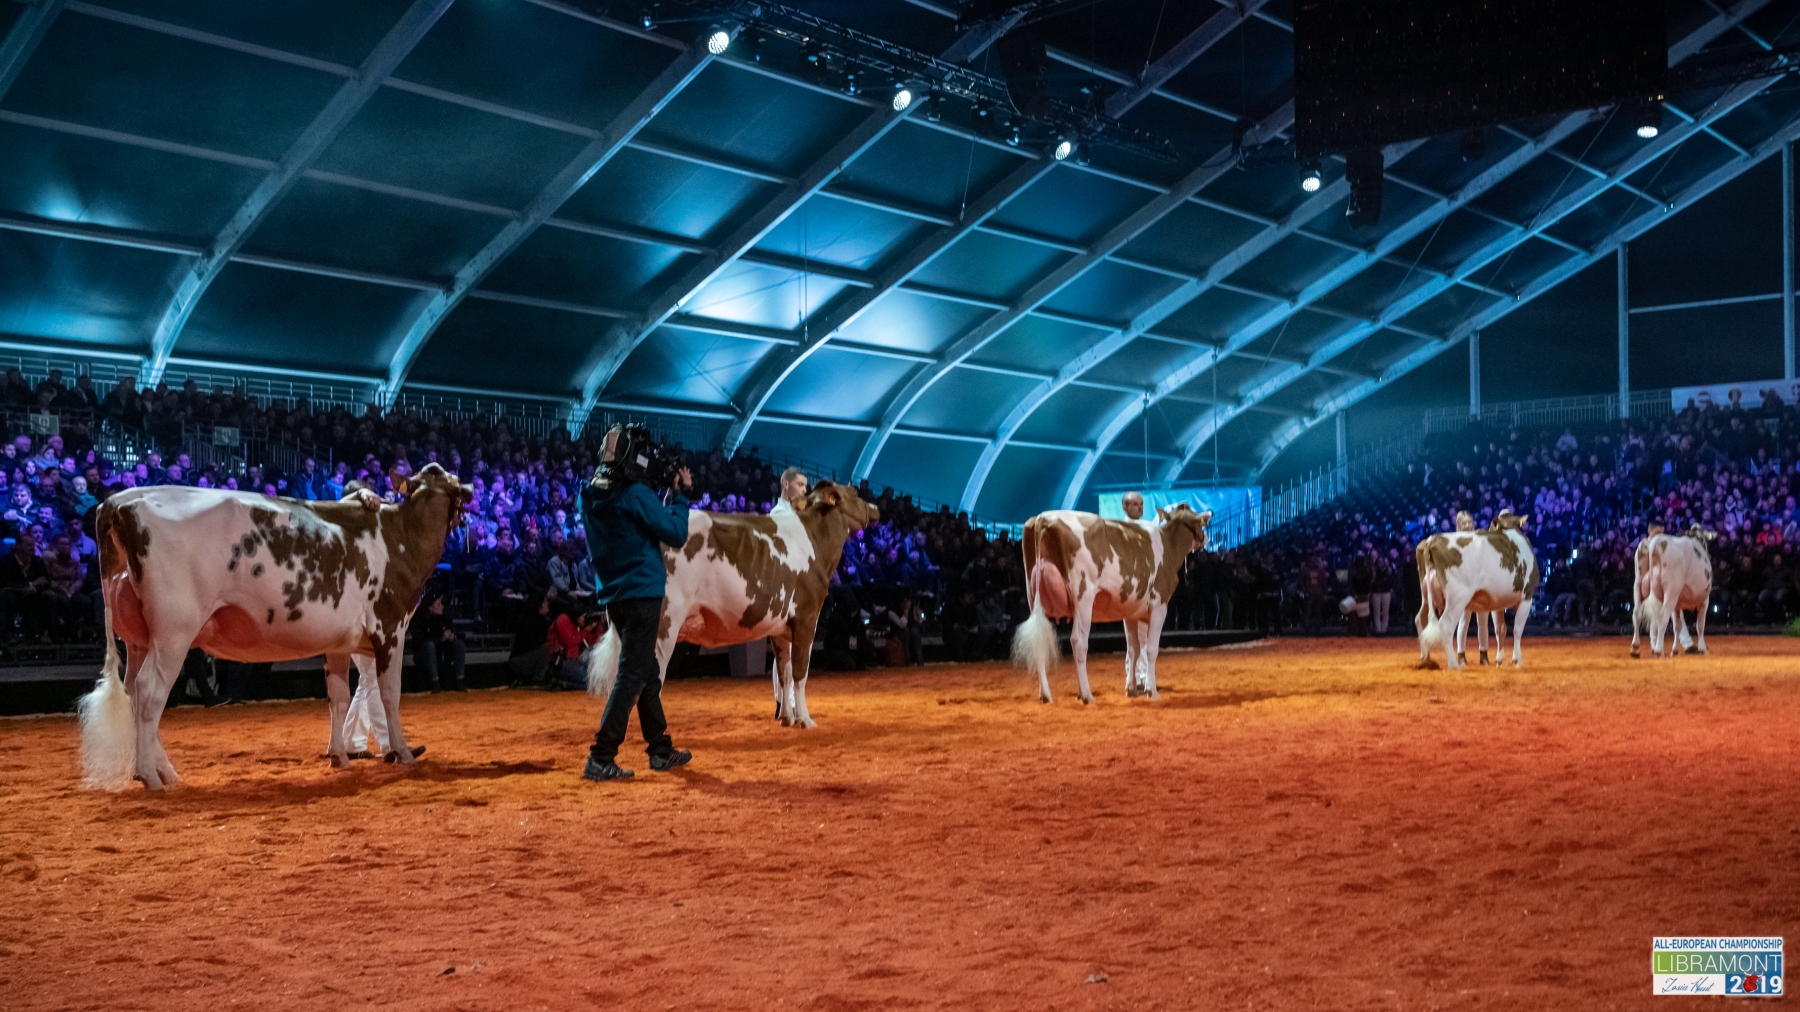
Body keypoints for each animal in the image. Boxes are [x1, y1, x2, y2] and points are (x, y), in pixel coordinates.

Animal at [78, 464, 471, 790]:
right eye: (448, 477)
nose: (468, 488)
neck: (401, 536)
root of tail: (120, 501)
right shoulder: (390, 628)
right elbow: (390, 693)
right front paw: (402, 752)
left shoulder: (339, 641)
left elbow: (339, 697)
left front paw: (339, 757)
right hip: (174, 631)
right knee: (149, 693)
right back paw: (149, 776)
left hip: (138, 637)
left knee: (132, 690)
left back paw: (166, 772)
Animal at [586, 480, 877, 728]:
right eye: (855, 492)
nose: (876, 508)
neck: (815, 541)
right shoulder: (807, 618)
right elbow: (800, 672)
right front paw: (805, 720)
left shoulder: (781, 628)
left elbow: (783, 673)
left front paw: (786, 718)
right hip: (662, 625)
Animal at [1011, 505, 1212, 705]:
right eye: (1201, 522)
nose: (1205, 538)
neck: (1169, 545)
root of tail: (1043, 518)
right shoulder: (1159, 604)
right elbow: (1151, 650)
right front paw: (1151, 691)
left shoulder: (1130, 611)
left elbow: (1133, 650)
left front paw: (1131, 689)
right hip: (1083, 596)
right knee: (1078, 642)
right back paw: (1086, 694)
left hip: (1034, 597)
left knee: (1038, 641)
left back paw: (1046, 694)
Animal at [1416, 511, 1539, 670]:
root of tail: (1432, 539)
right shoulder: (1527, 596)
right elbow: (1517, 629)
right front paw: (1517, 660)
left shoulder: (1498, 602)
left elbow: (1501, 629)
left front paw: (1500, 660)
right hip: (1458, 596)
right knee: (1446, 624)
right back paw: (1454, 664)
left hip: (1426, 594)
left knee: (1420, 619)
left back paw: (1426, 658)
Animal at [1636, 525, 1715, 658]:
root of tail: (1655, 542)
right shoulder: (1705, 600)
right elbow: (1700, 625)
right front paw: (1702, 649)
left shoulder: (1677, 604)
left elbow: (1677, 626)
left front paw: (1675, 650)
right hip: (1671, 591)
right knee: (1662, 617)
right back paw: (1658, 650)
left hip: (1638, 585)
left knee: (1637, 614)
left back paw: (1635, 648)